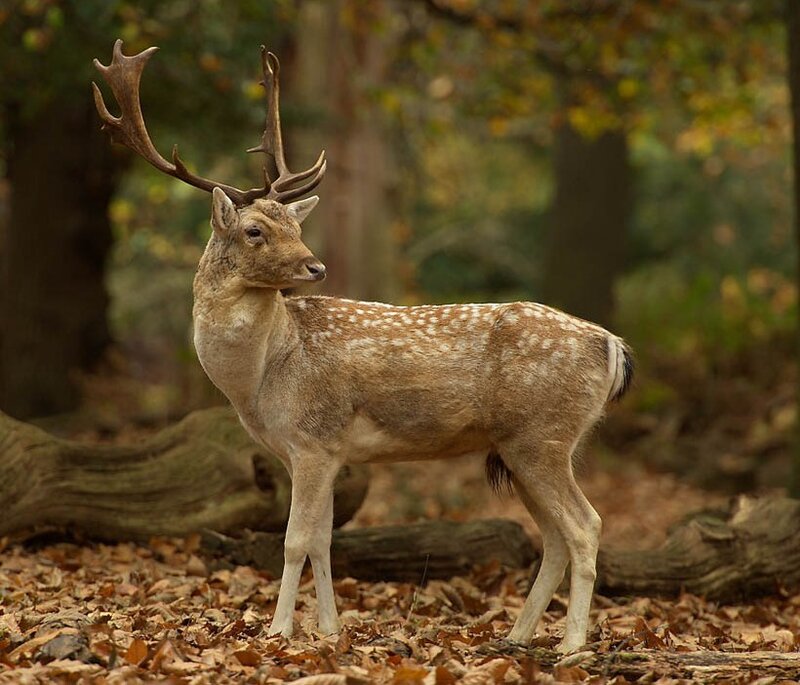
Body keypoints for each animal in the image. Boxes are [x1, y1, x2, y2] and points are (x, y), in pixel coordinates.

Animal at [92, 40, 633, 654]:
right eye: (256, 230)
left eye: (295, 227)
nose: (315, 266)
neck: (260, 377)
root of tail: (613, 345)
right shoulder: (327, 452)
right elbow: (323, 541)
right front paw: (328, 629)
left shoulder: (312, 440)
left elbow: (294, 540)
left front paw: (277, 631)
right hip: (523, 446)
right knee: (555, 536)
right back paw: (517, 637)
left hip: (542, 435)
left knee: (585, 525)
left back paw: (571, 644)